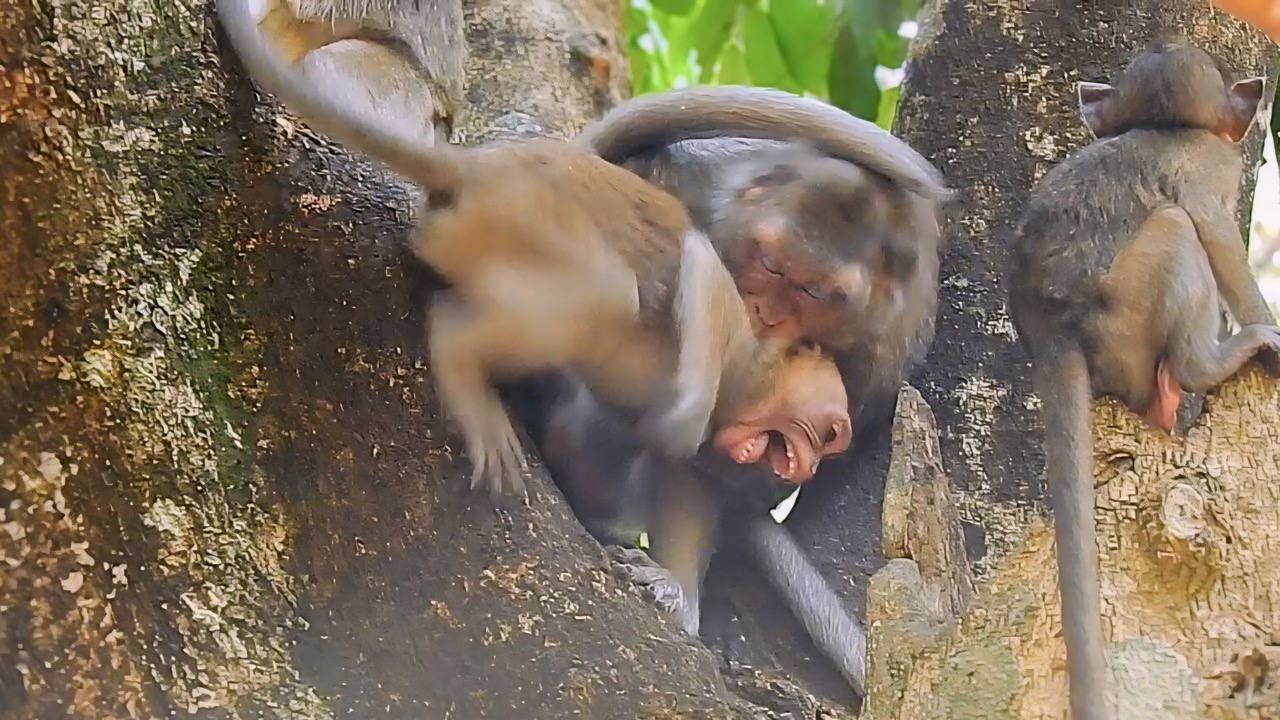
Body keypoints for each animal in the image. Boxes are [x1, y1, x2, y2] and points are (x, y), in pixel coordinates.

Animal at [218, 0, 856, 497]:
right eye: (830, 430)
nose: (833, 445)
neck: (756, 380)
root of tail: (474, 171)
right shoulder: (738, 337)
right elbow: (699, 267)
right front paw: (681, 423)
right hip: (525, 220)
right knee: (604, 297)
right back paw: (459, 355)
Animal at [1008, 42, 1280, 720]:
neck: (1164, 126)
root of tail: (1051, 332)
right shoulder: (1214, 164)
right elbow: (1210, 225)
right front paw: (1270, 332)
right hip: (1126, 310)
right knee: (1178, 228)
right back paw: (1204, 366)